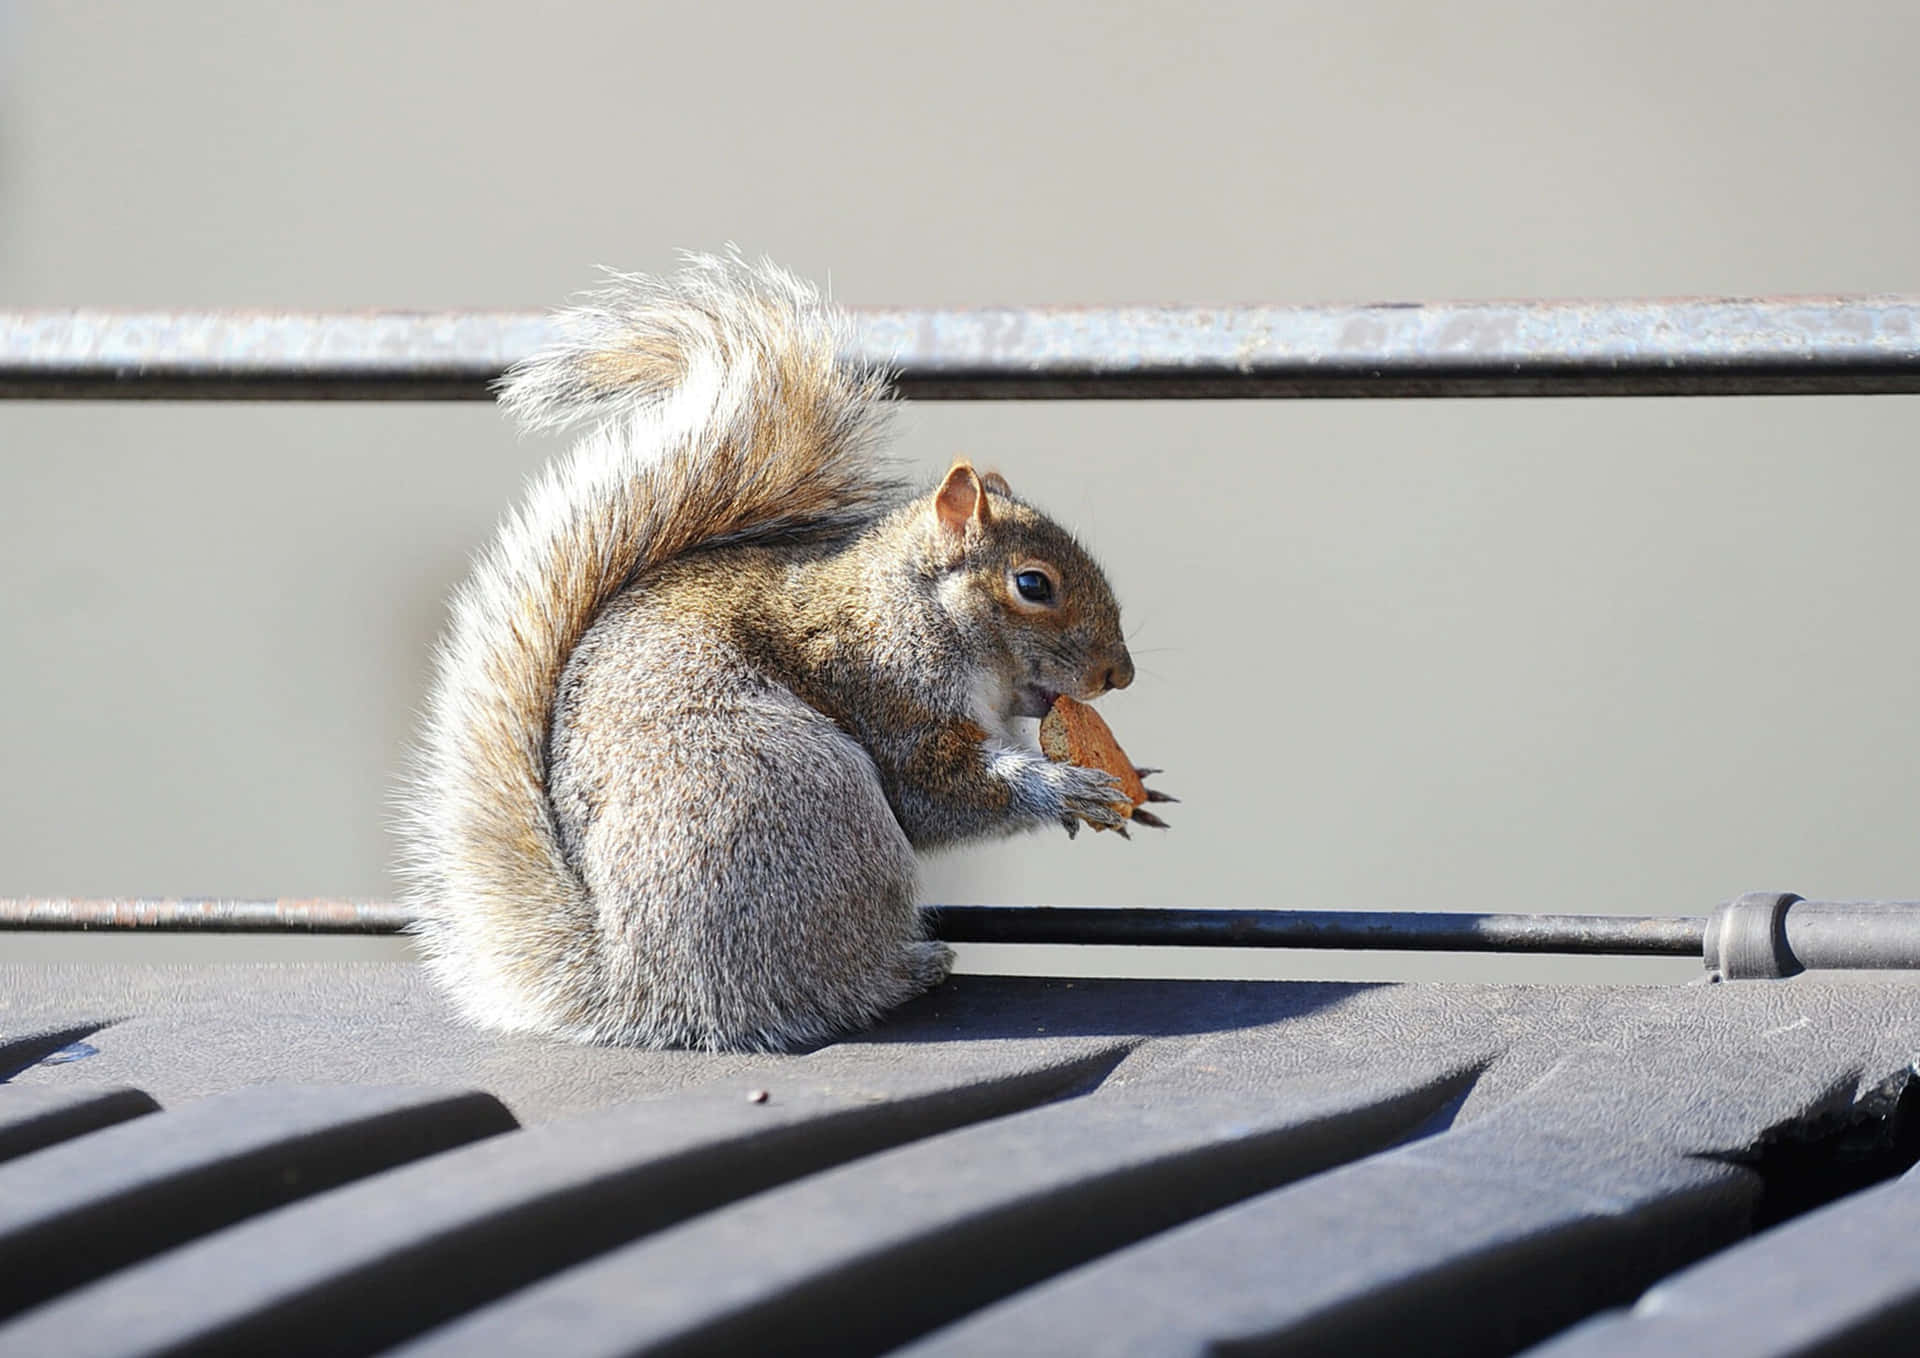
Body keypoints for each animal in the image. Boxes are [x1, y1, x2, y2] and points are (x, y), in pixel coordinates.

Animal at [397, 251, 1159, 1052]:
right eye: (1032, 584)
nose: (1121, 674)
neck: (912, 607)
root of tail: (648, 991)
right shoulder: (884, 690)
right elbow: (937, 793)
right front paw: (1067, 788)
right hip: (806, 804)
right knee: (824, 990)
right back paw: (904, 970)